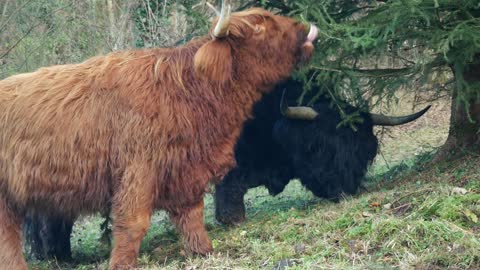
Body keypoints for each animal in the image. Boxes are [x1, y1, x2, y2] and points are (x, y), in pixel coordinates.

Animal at [0, 1, 316, 268]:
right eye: (259, 26)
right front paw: (121, 264)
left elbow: (192, 215)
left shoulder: (186, 169)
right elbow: (134, 222)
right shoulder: (138, 169)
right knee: (10, 237)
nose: (305, 29)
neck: (186, 91)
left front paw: (204, 251)